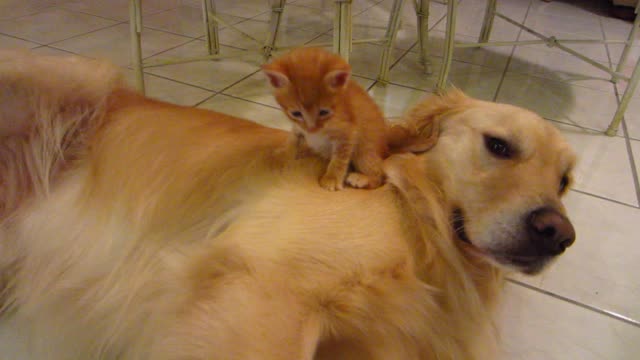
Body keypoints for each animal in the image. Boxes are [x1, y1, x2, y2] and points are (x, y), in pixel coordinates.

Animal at [262, 47, 388, 191]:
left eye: (323, 112)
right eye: (296, 113)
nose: (311, 129)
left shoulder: (347, 133)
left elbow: (339, 158)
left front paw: (331, 179)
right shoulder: (298, 126)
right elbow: (293, 138)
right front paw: (284, 155)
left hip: (365, 151)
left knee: (380, 175)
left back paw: (363, 178)